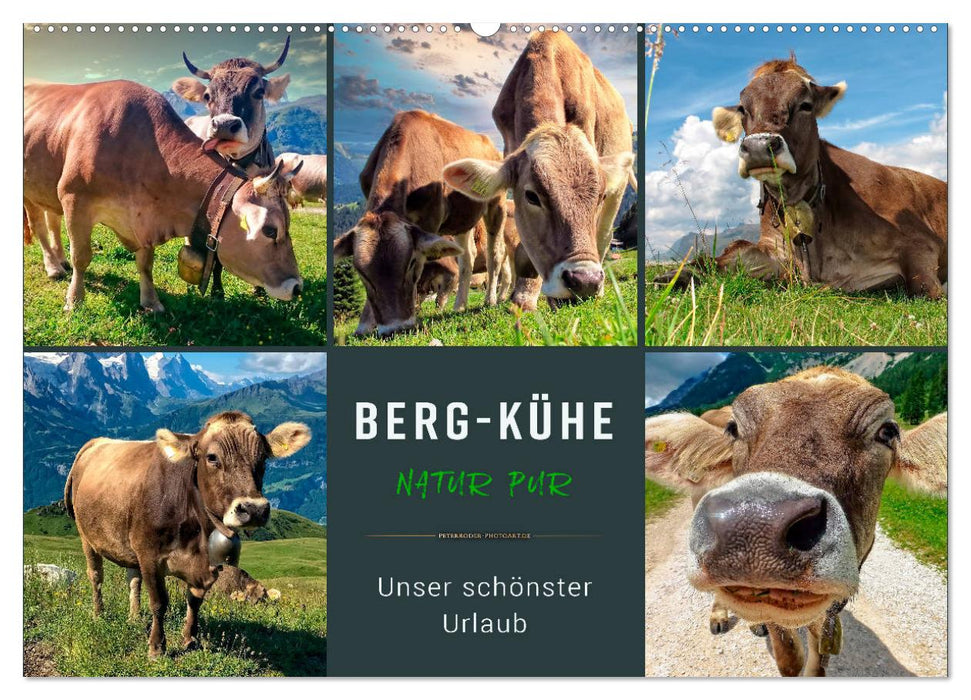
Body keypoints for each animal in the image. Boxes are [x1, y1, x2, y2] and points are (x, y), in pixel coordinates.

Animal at [24, 80, 305, 312]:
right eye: (270, 230)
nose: (297, 287)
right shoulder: (74, 198)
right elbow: (81, 257)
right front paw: (75, 300)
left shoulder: (145, 219)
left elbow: (146, 263)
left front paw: (151, 302)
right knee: (40, 227)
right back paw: (53, 266)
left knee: (52, 222)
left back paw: (59, 260)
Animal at [64, 411, 311, 658]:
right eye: (212, 457)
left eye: (263, 458)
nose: (254, 509)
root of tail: (96, 442)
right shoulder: (149, 554)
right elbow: (159, 602)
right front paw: (156, 647)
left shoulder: (208, 564)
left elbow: (194, 600)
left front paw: (190, 639)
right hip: (87, 536)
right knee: (96, 576)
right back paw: (99, 614)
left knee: (133, 580)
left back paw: (134, 618)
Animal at [334, 110, 507, 336]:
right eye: (361, 273)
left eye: (411, 263)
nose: (395, 328)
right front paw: (364, 324)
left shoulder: (429, 219)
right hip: (463, 216)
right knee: (467, 256)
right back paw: (459, 305)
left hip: (497, 202)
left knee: (495, 252)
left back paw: (491, 299)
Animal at [658, 54, 947, 298]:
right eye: (742, 108)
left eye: (806, 105)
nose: (759, 147)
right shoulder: (775, 251)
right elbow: (734, 252)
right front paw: (677, 274)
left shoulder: (921, 242)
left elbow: (924, 289)